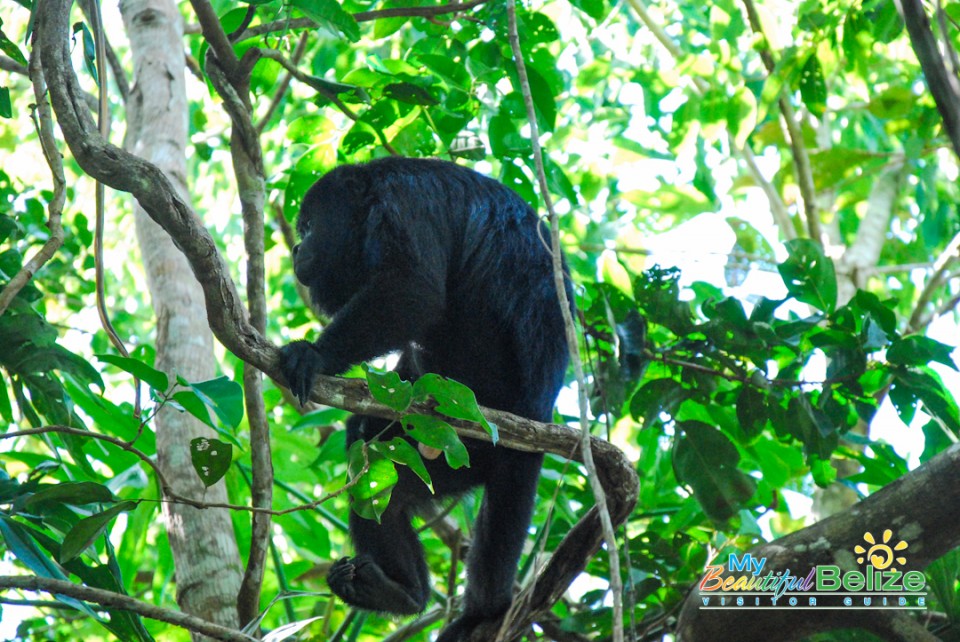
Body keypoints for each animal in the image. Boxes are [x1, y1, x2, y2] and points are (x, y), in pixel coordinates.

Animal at [278, 156, 568, 640]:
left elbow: (412, 288)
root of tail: (536, 414)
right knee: (375, 460)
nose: (297, 248)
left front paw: (315, 355)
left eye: (310, 226)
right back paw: (403, 593)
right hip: (453, 458)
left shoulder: (404, 201)